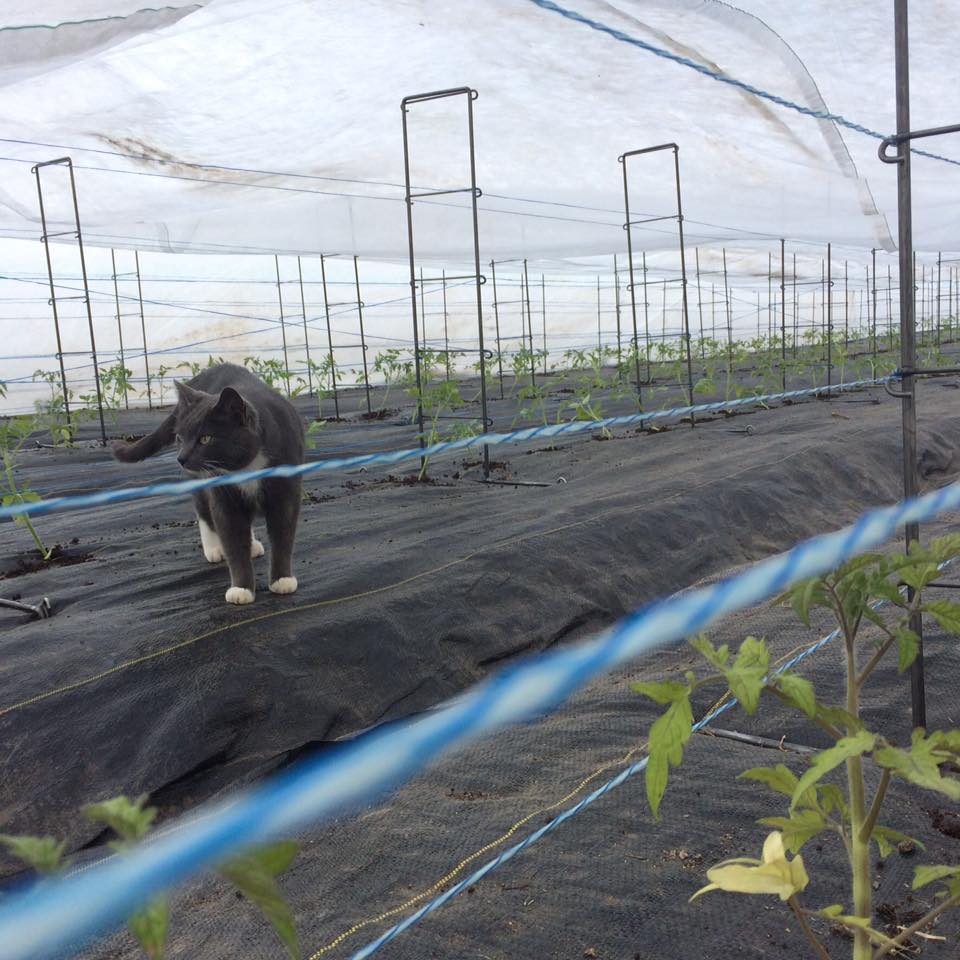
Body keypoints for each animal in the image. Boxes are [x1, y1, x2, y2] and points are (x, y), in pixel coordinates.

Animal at [112, 364, 308, 604]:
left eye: (205, 439)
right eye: (180, 438)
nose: (181, 458)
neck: (246, 467)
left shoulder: (286, 492)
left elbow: (283, 533)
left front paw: (282, 580)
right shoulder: (223, 494)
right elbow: (231, 537)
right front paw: (241, 589)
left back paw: (252, 544)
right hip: (200, 480)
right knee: (204, 510)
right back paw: (214, 548)